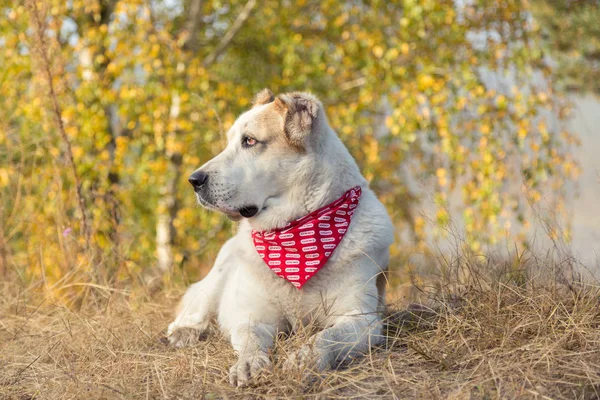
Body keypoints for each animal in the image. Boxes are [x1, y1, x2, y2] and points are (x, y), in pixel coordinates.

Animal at [169, 88, 394, 388]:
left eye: (250, 141)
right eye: (229, 142)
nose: (194, 180)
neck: (293, 238)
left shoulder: (362, 320)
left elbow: (325, 337)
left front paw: (304, 359)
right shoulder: (252, 316)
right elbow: (250, 339)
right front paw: (248, 363)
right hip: (219, 273)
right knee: (195, 308)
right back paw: (185, 332)